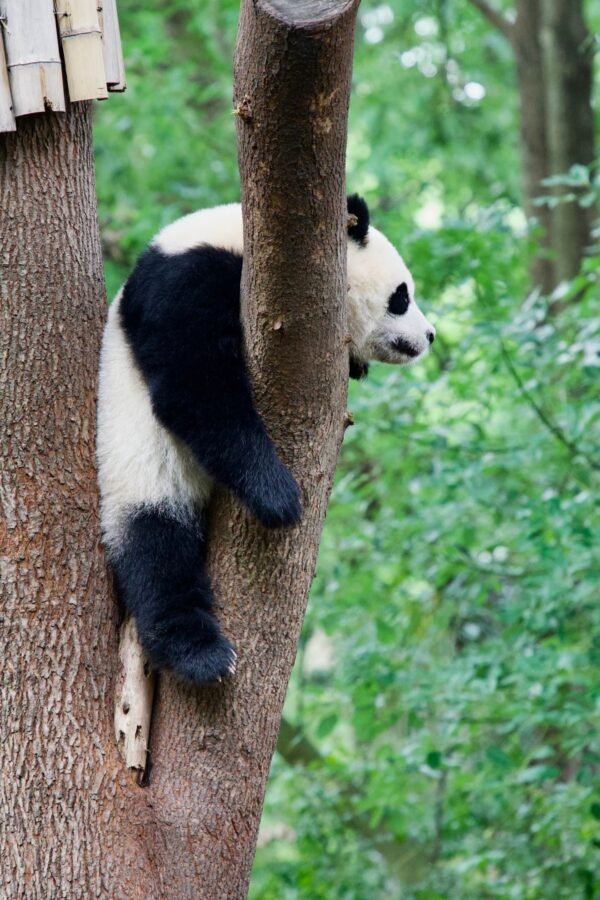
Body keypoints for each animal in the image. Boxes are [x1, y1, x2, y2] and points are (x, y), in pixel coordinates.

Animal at [97, 195, 435, 685]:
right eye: (402, 297)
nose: (429, 336)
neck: (244, 243)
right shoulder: (186, 278)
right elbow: (194, 386)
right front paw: (277, 497)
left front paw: (356, 363)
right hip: (138, 471)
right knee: (158, 551)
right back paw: (199, 654)